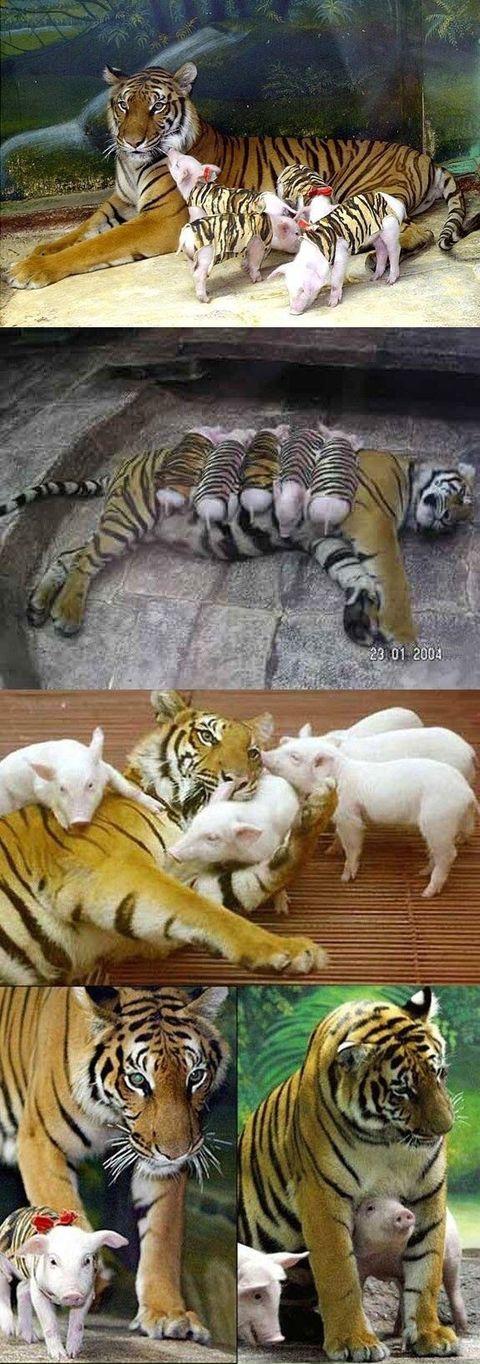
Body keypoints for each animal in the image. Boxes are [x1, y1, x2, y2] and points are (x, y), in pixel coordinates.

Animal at [0, 690, 333, 985]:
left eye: (252, 752)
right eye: (207, 737)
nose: (239, 780)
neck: (182, 819)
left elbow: (244, 887)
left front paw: (317, 809)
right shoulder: (115, 868)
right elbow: (204, 910)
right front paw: (286, 950)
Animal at [0, 982, 229, 1341]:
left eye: (196, 1076)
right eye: (137, 1080)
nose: (177, 1152)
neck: (111, 1117)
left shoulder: (157, 1167)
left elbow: (162, 1240)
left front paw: (168, 1314)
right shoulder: (41, 1142)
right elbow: (66, 1210)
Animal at [7, 61, 477, 291]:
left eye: (156, 106)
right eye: (124, 105)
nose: (131, 140)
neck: (132, 165)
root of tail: (423, 155)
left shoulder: (160, 220)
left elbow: (93, 247)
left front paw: (31, 271)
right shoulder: (118, 205)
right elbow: (73, 234)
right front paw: (32, 254)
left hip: (359, 195)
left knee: (413, 232)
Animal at [8, 439, 474, 647]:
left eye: (462, 516)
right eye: (464, 499)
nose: (447, 521)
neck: (409, 478)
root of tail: (130, 460)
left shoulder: (325, 540)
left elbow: (354, 574)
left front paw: (359, 619)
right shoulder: (372, 522)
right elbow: (392, 577)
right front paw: (403, 634)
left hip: (128, 528)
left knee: (70, 554)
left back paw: (38, 606)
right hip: (131, 517)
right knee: (86, 560)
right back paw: (66, 614)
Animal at [238, 987, 457, 1361]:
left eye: (439, 1074)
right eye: (403, 1090)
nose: (445, 1129)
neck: (388, 1141)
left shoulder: (428, 1191)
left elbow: (426, 1267)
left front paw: (429, 1334)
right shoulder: (322, 1195)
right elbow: (340, 1273)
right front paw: (354, 1342)